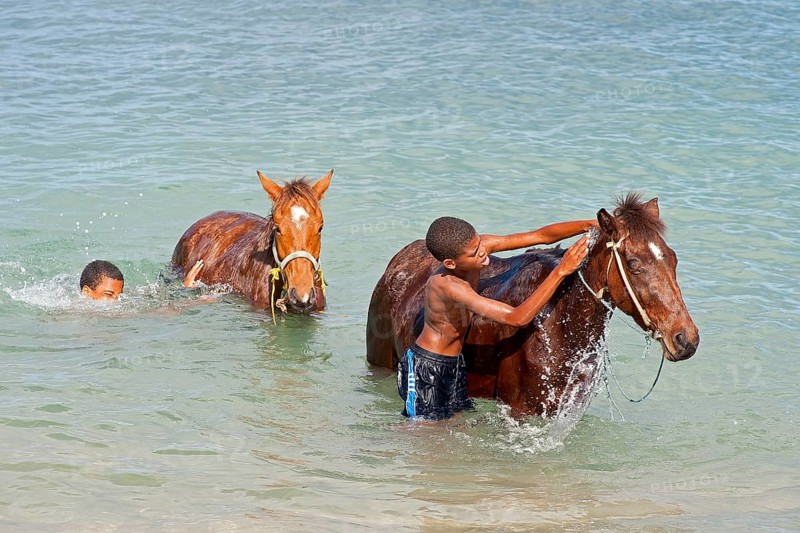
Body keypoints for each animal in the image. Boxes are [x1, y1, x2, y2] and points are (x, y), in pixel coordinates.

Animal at [365, 194, 699, 418]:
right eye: (633, 264)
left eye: (673, 258)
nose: (686, 339)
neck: (561, 325)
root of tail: (400, 259)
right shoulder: (521, 409)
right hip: (381, 363)